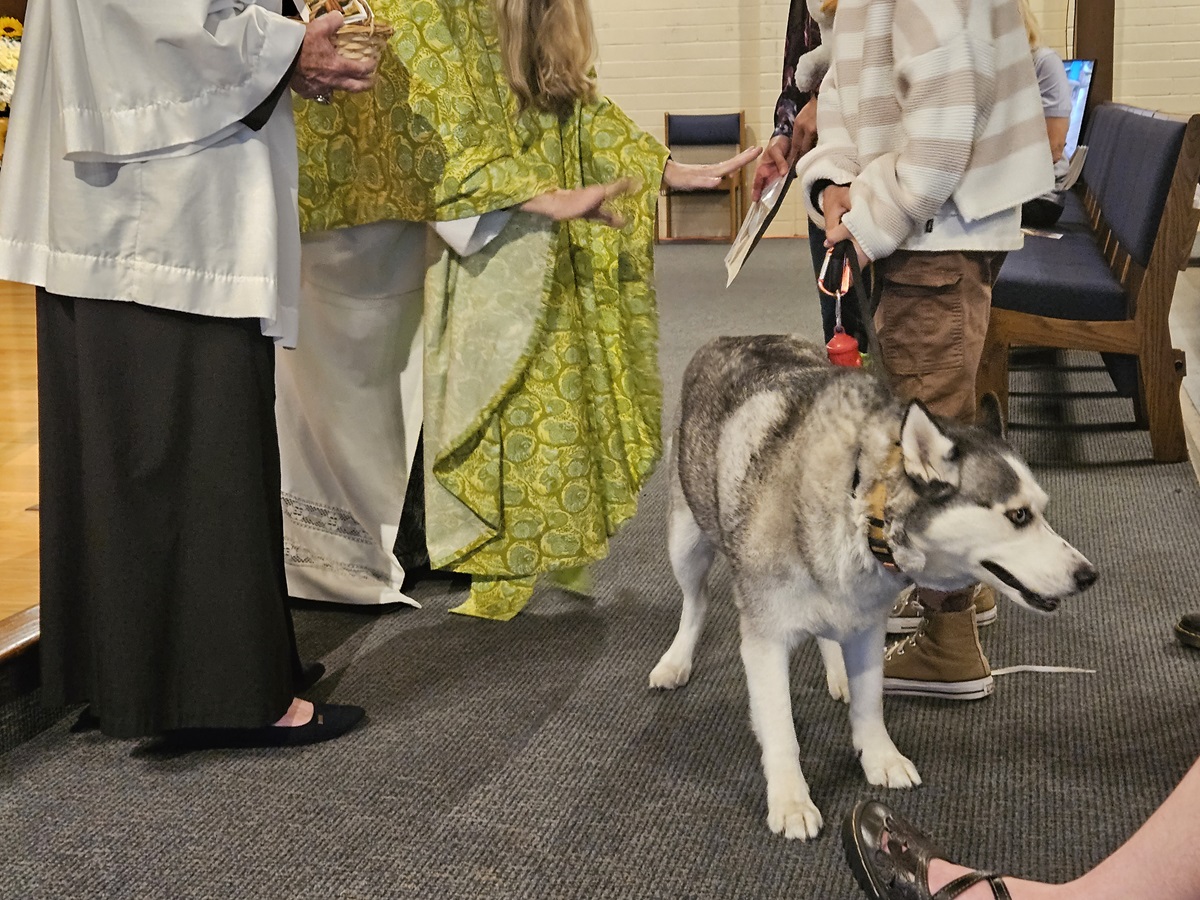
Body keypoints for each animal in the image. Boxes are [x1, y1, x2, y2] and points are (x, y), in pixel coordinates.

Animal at [648, 336, 1099, 844]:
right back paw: (677, 660)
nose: (1088, 575)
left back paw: (837, 671)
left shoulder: (866, 624)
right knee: (696, 602)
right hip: (686, 541)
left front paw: (879, 757)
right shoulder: (765, 640)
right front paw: (790, 799)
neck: (862, 504)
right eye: (1019, 516)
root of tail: (728, 339)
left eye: (1040, 510)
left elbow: (870, 703)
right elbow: (780, 728)